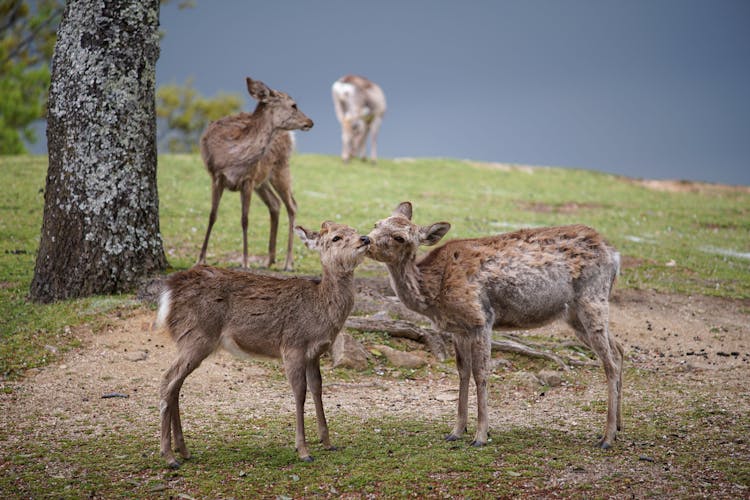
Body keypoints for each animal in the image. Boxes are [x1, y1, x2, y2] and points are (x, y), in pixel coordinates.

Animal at [156, 221, 374, 466]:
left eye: (354, 230)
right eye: (336, 237)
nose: (365, 239)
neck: (321, 310)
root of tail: (169, 292)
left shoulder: (314, 353)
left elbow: (317, 389)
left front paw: (327, 442)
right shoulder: (293, 346)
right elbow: (300, 392)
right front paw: (303, 450)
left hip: (188, 341)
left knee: (175, 386)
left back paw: (183, 450)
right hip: (196, 337)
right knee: (167, 380)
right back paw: (168, 455)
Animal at [197, 76, 314, 270]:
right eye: (293, 105)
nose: (310, 122)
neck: (232, 155)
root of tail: (290, 137)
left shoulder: (248, 179)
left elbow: (245, 219)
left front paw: (245, 262)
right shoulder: (216, 176)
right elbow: (212, 215)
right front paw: (200, 259)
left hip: (280, 167)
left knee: (292, 205)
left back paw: (288, 263)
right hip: (263, 179)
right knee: (275, 204)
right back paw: (269, 260)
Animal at [368, 202, 624, 450]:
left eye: (400, 237)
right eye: (376, 223)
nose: (366, 240)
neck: (433, 291)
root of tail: (615, 255)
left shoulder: (481, 320)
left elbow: (481, 374)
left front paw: (481, 436)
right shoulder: (458, 330)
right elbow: (462, 373)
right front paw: (456, 431)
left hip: (592, 299)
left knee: (609, 364)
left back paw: (607, 437)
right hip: (575, 316)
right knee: (619, 350)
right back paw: (619, 427)